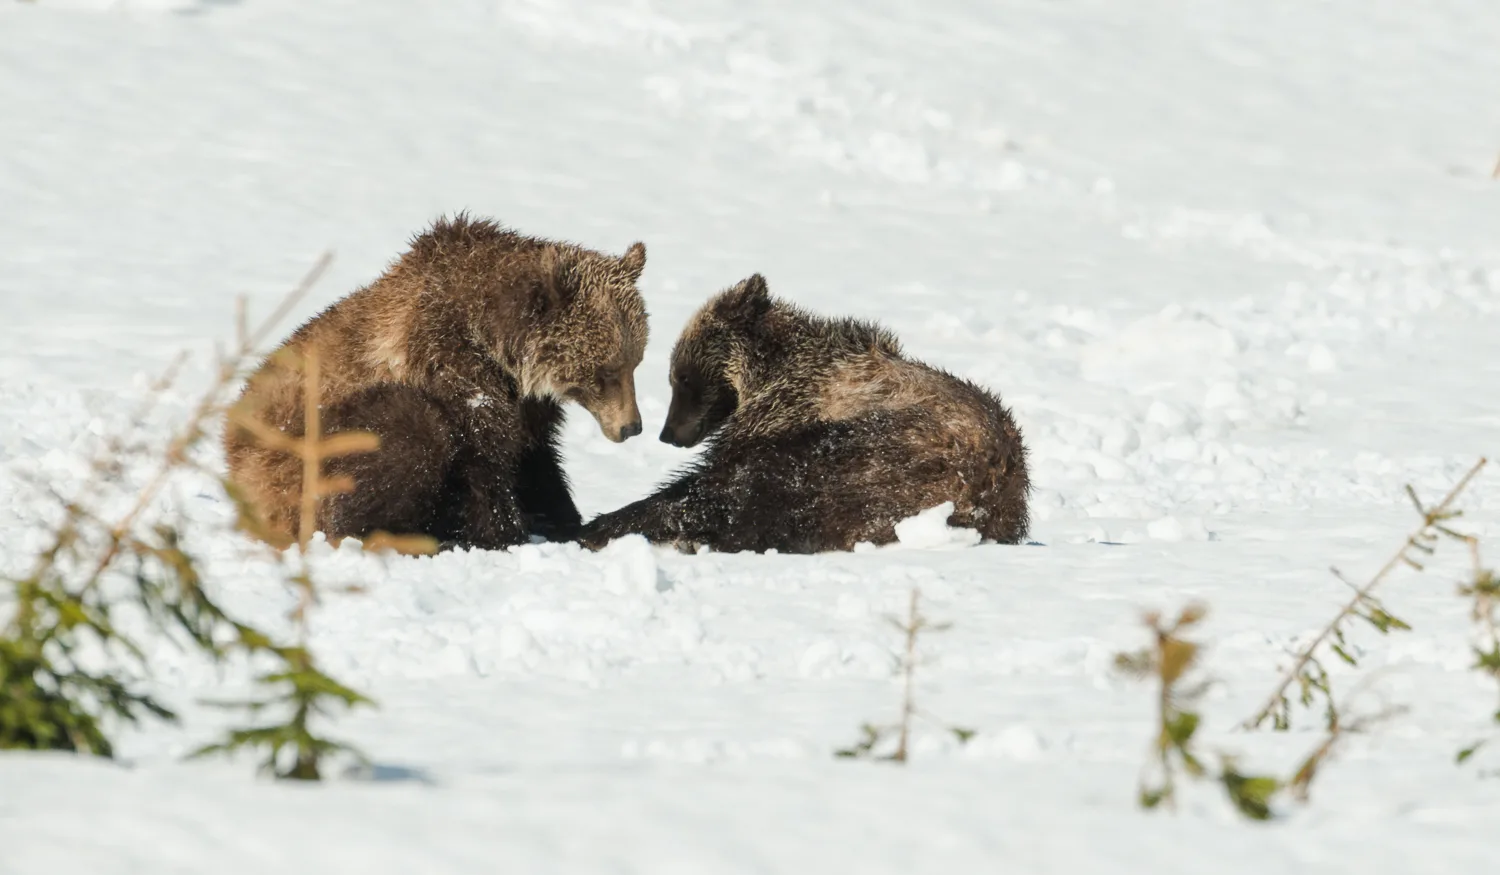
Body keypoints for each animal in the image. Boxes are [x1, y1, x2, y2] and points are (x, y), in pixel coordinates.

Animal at [223, 213, 649, 551]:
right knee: (411, 429)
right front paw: (504, 532)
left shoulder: (527, 404)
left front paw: (563, 519)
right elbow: (482, 460)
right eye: (606, 371)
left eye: (636, 362)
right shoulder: (447, 364)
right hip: (299, 457)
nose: (631, 426)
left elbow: (535, 457)